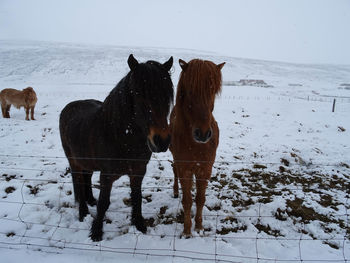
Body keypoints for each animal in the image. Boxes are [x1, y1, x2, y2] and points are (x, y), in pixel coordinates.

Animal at [60, 54, 175, 242]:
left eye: (168, 97)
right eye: (139, 95)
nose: (161, 141)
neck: (120, 137)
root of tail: (68, 107)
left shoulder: (138, 172)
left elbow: (137, 198)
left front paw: (139, 225)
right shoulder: (107, 175)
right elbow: (104, 203)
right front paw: (96, 233)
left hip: (87, 161)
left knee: (86, 177)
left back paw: (90, 200)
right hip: (74, 161)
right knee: (78, 181)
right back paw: (83, 212)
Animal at [170, 58, 224, 238]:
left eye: (213, 90)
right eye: (190, 91)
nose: (203, 134)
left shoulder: (205, 169)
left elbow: (200, 199)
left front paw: (199, 227)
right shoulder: (185, 168)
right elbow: (187, 201)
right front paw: (187, 231)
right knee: (174, 171)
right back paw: (175, 191)